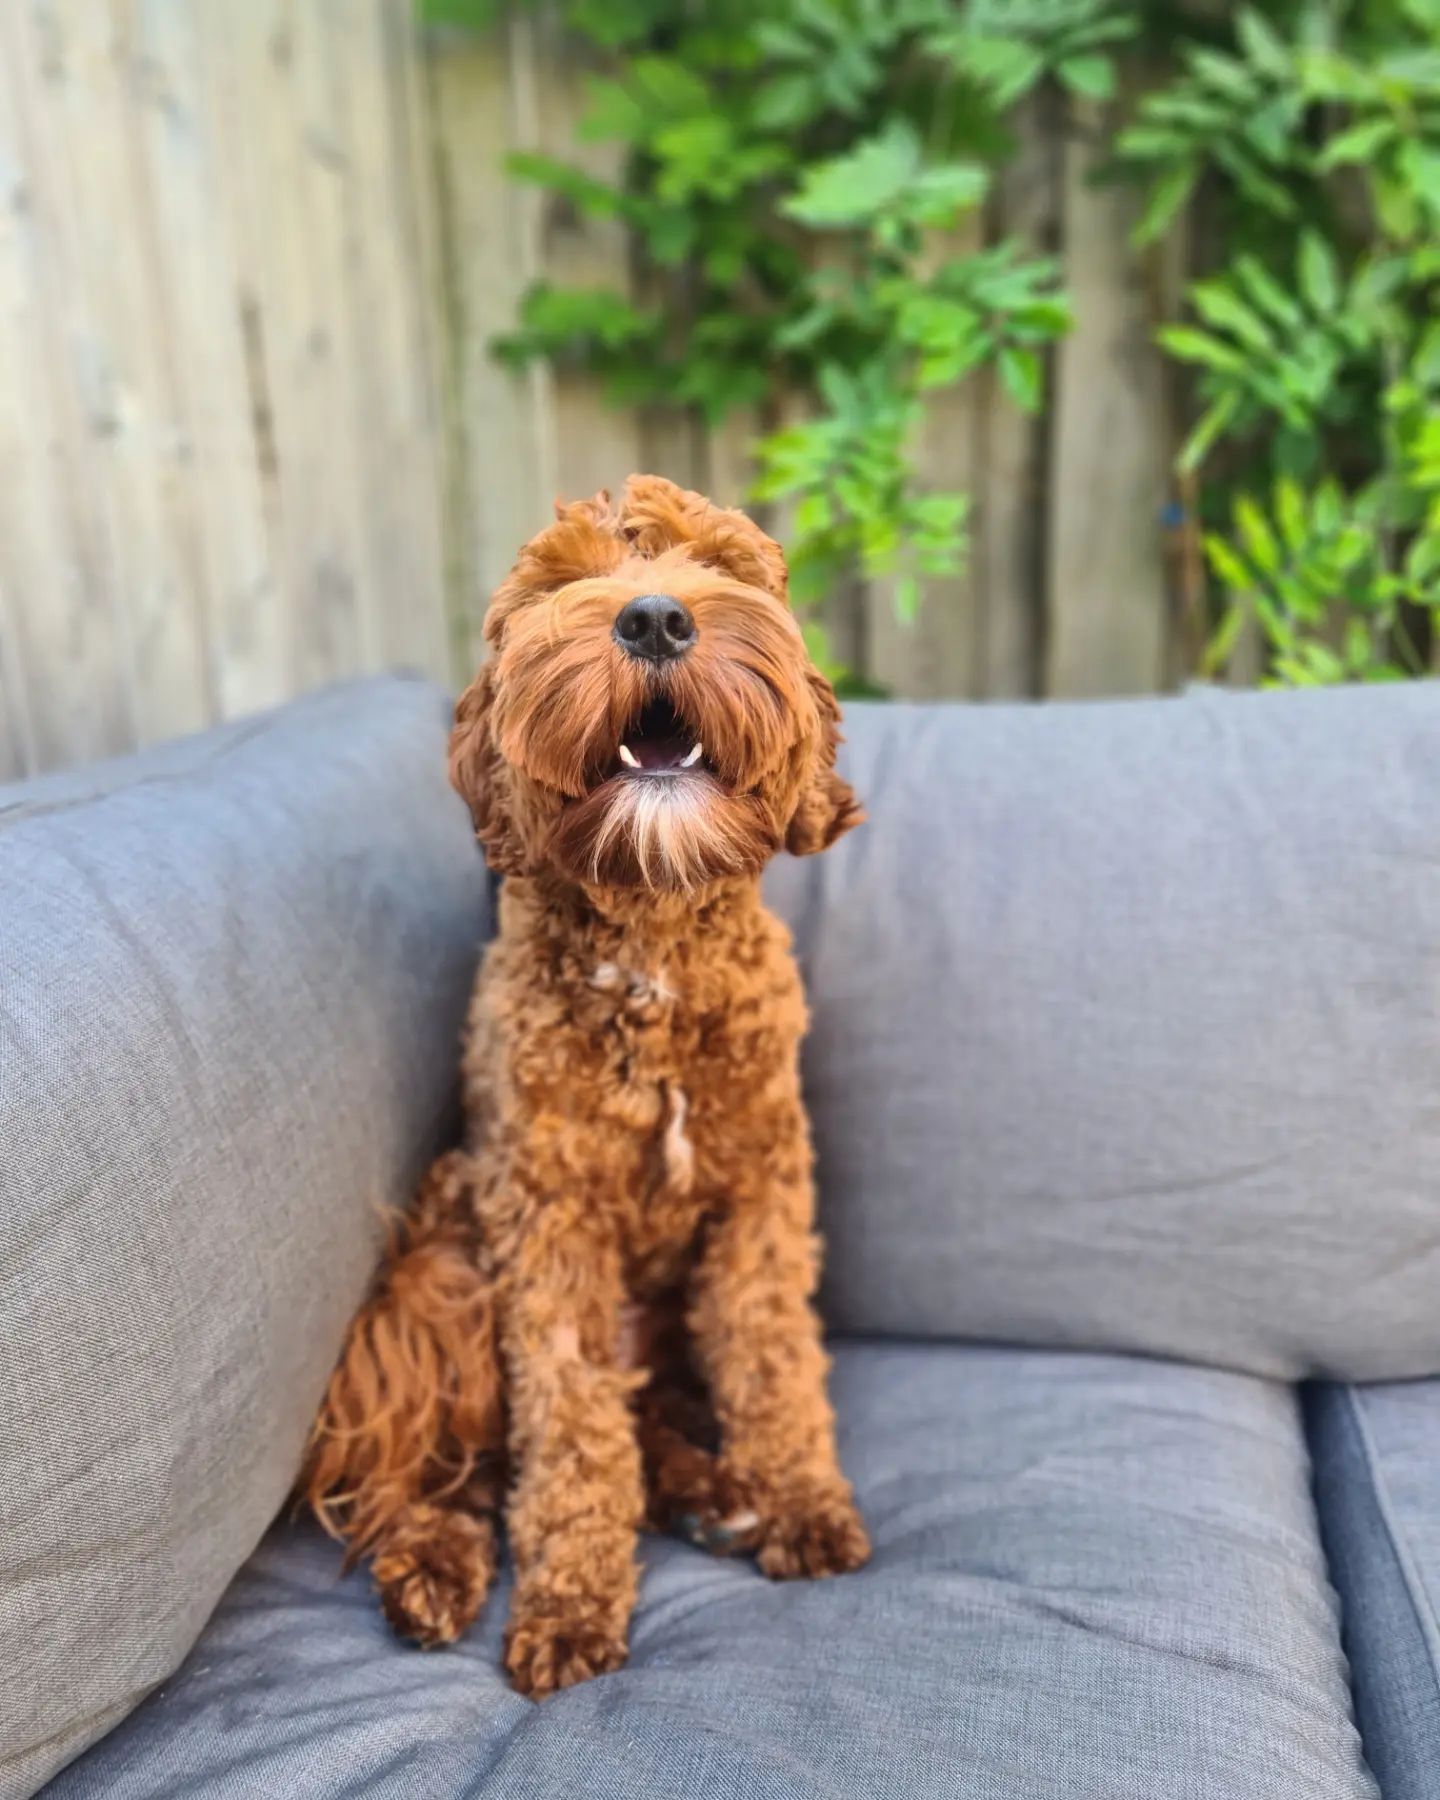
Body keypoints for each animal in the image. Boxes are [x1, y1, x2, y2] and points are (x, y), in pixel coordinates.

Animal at [303, 474, 870, 1698]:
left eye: (726, 568)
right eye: (561, 583)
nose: (654, 618)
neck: (651, 947)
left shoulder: (759, 1194)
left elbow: (772, 1353)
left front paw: (799, 1499)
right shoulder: (548, 1226)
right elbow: (567, 1428)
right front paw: (568, 1602)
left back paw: (715, 1494)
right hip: (435, 1284)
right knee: (434, 1474)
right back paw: (433, 1565)